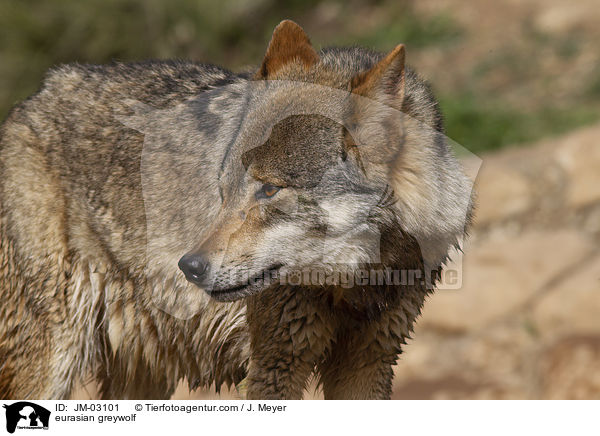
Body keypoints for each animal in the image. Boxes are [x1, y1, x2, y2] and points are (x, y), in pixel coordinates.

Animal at [0, 22, 474, 400]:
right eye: (224, 188)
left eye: (269, 189)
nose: (190, 267)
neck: (355, 283)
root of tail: (34, 98)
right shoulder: (274, 366)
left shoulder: (369, 362)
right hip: (53, 359)